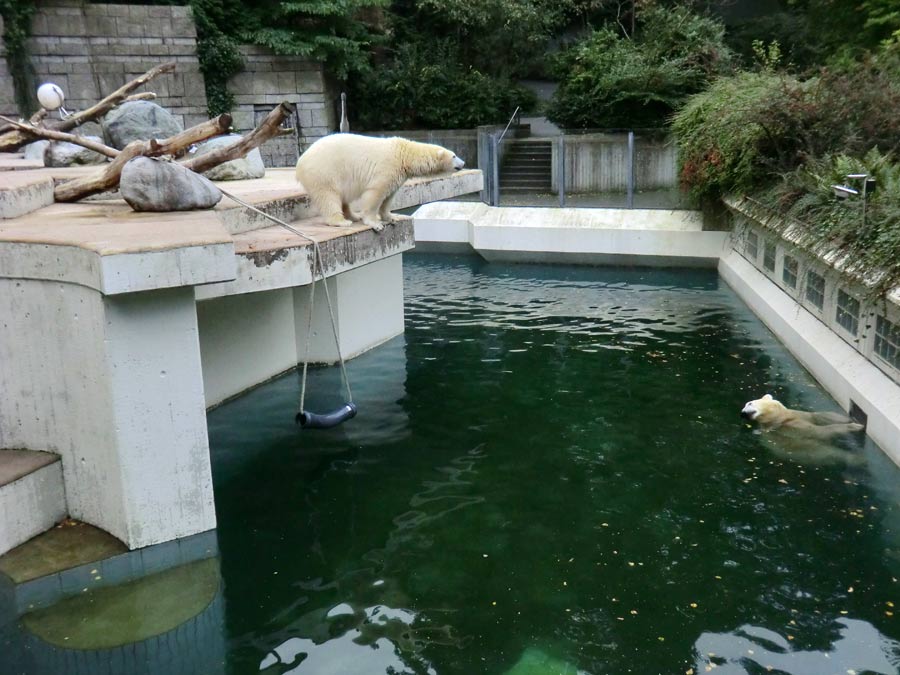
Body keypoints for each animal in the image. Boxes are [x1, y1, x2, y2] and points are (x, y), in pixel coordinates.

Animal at [296, 133, 464, 234]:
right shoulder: (386, 168)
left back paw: (353, 216)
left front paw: (391, 217)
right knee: (328, 197)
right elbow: (376, 194)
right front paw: (375, 223)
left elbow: (389, 196)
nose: (463, 163)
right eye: (454, 156)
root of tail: (300, 161)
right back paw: (341, 221)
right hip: (324, 172)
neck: (404, 155)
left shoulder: (397, 175)